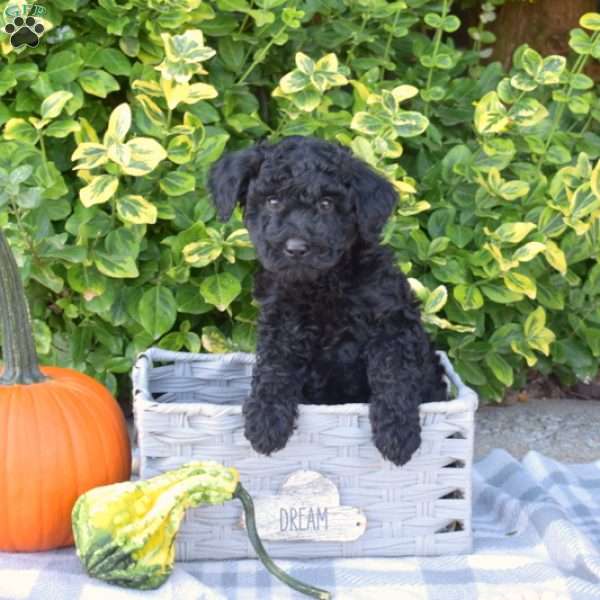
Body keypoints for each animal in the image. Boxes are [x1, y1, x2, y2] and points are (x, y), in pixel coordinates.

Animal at [209, 136, 448, 464]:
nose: (296, 248)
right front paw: (265, 422)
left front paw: (398, 434)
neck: (322, 283)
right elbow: (273, 369)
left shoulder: (392, 323)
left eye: (326, 204)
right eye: (273, 201)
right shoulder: (280, 324)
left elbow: (394, 374)